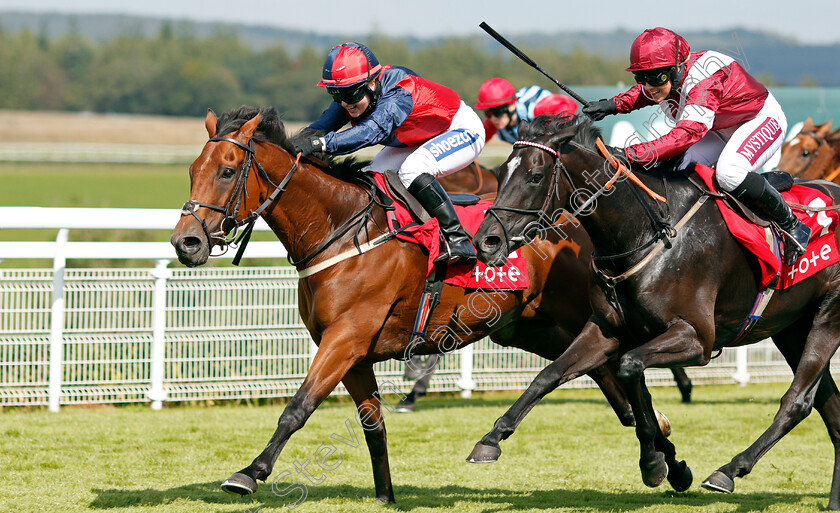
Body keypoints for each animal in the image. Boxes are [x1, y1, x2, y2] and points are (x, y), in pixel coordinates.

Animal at [169, 106, 668, 502]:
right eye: (193, 170)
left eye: (228, 171)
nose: (185, 242)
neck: (342, 232)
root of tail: (574, 217)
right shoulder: (353, 354)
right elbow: (373, 427)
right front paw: (386, 496)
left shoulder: (345, 340)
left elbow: (298, 408)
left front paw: (249, 473)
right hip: (532, 327)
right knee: (601, 373)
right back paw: (663, 445)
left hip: (581, 317)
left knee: (617, 366)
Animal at [470, 115, 840, 508]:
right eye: (499, 173)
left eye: (535, 176)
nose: (486, 241)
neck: (646, 234)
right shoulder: (607, 330)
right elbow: (550, 374)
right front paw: (490, 440)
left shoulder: (698, 339)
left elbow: (630, 368)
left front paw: (653, 462)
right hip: (791, 328)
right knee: (829, 409)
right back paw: (832, 501)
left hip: (828, 315)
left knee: (797, 402)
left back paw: (728, 470)